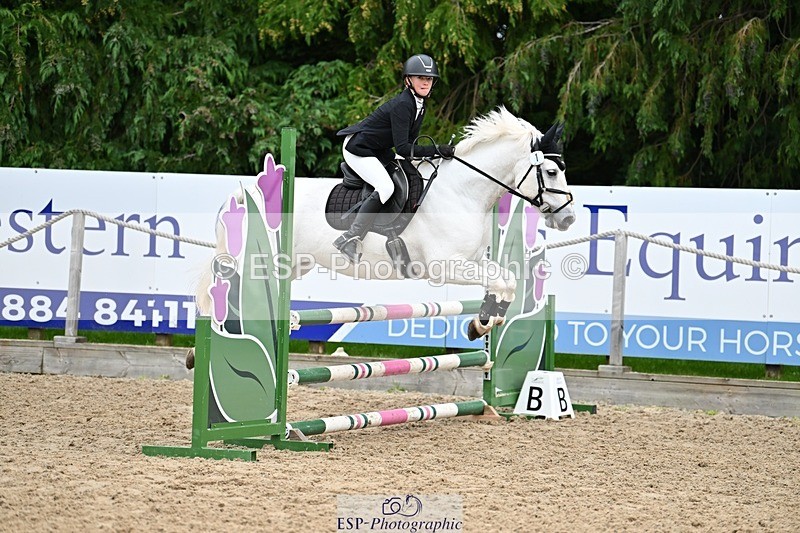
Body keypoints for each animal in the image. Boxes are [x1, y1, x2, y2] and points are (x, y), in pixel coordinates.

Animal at [196, 106, 575, 344]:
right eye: (551, 171)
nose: (568, 217)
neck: (463, 192)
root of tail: (250, 192)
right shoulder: (444, 266)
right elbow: (503, 280)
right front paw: (482, 322)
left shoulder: (473, 261)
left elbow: (505, 280)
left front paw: (482, 322)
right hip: (267, 262)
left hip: (294, 265)